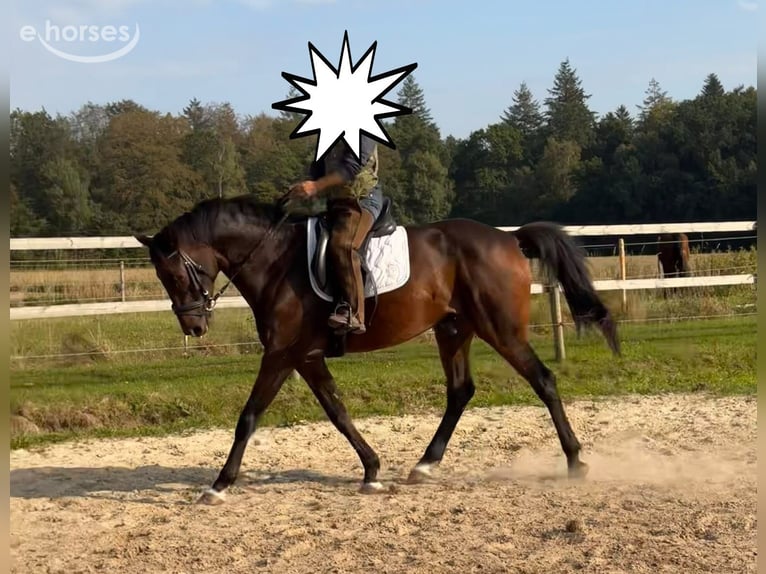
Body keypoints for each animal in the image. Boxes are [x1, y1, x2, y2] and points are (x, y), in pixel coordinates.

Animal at [134, 195, 620, 505]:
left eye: (173, 275)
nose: (194, 326)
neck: (274, 261)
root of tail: (508, 238)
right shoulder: (306, 358)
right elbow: (338, 412)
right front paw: (371, 470)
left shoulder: (281, 355)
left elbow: (249, 417)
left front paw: (218, 485)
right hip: (454, 330)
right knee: (460, 391)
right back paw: (424, 465)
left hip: (500, 329)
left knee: (543, 380)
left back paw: (575, 461)